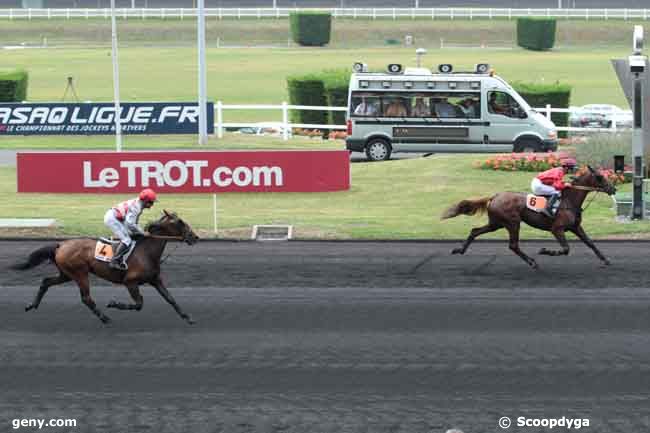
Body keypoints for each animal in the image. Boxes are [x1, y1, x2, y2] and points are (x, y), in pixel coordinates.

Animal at [9, 209, 197, 324]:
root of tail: (60, 244)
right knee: (86, 298)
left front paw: (188, 317)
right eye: (180, 222)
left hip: (66, 274)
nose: (194, 237)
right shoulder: (130, 282)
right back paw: (105, 318)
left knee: (46, 281)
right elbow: (139, 304)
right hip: (80, 274)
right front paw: (113, 303)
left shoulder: (155, 280)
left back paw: (32, 305)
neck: (146, 252)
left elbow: (170, 299)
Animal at [442, 165, 616, 266]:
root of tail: (494, 196)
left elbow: (590, 243)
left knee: (475, 231)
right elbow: (566, 249)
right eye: (600, 177)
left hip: (496, 223)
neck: (569, 200)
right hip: (512, 222)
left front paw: (606, 259)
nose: (613, 189)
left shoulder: (575, 227)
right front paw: (545, 251)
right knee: (513, 245)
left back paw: (460, 250)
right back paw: (532, 262)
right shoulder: (557, 229)